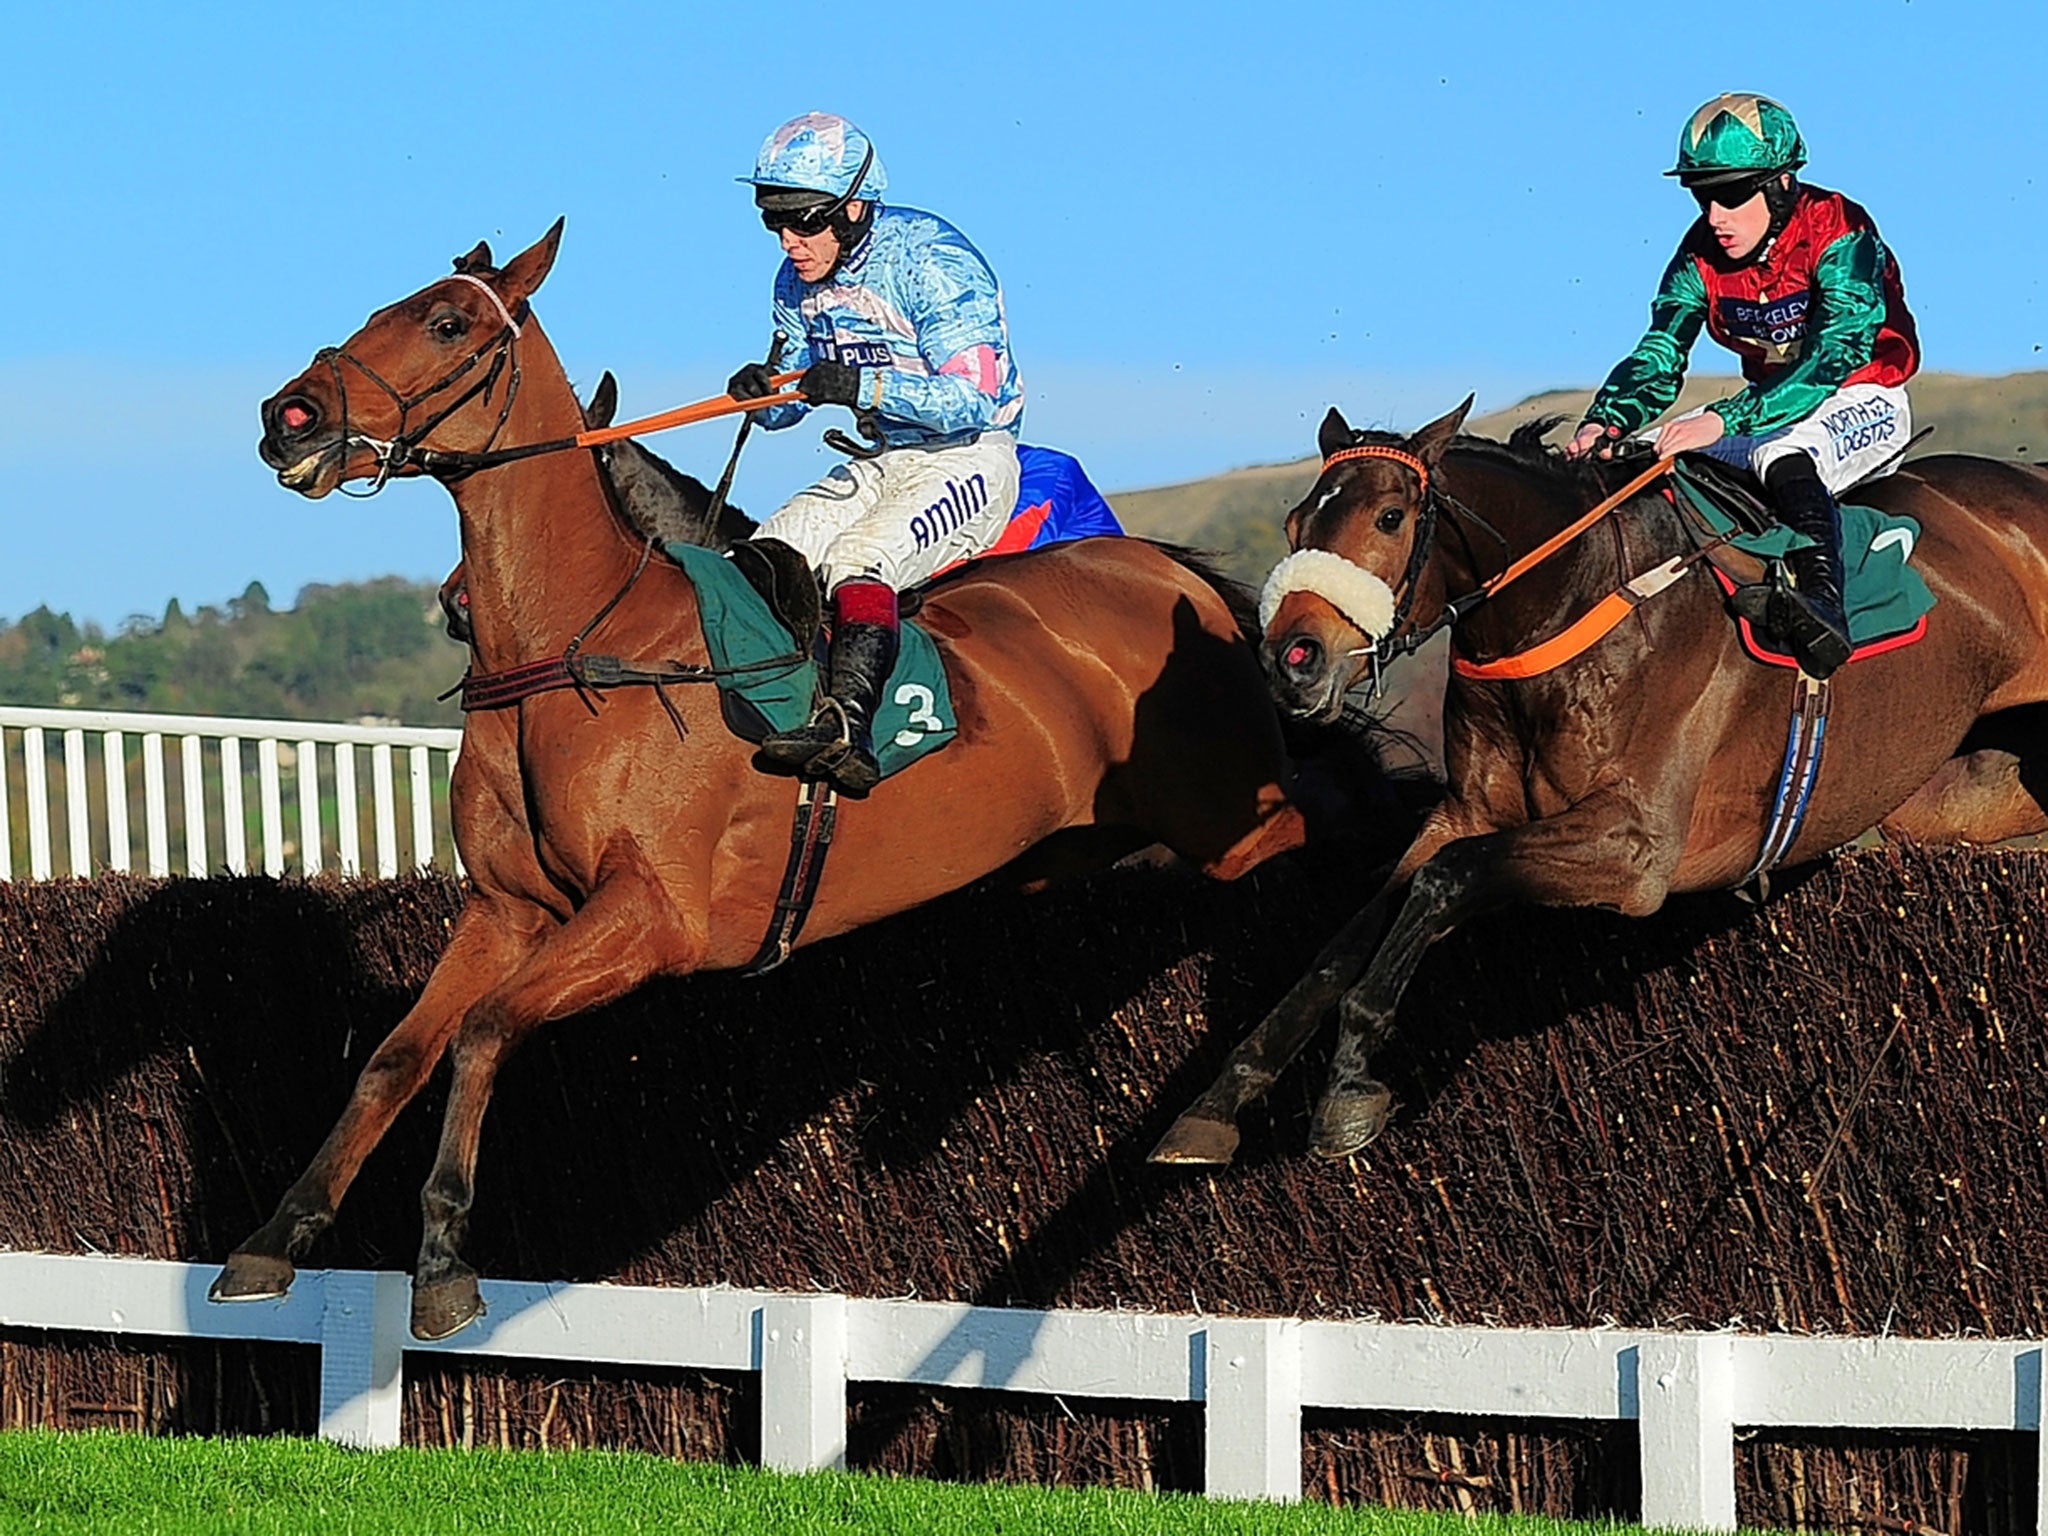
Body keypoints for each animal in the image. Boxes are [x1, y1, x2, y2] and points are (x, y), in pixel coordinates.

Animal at [216, 222, 1302, 1343]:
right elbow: (395, 1055)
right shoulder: (505, 910)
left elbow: (483, 1032)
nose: (288, 417)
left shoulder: (655, 919)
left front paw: (440, 1261)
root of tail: (1168, 573)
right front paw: (273, 1238)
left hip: (1226, 819)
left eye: (445, 321)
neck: (576, 648)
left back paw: (1237, 1097)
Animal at [1163, 397, 2048, 1163]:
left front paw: (1348, 1085)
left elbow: (1445, 882)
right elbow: (1353, 932)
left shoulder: (1637, 850)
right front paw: (1215, 1104)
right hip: (1956, 795)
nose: (1292, 662)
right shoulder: (1466, 812)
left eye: (1388, 517)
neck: (1567, 608)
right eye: (1294, 523)